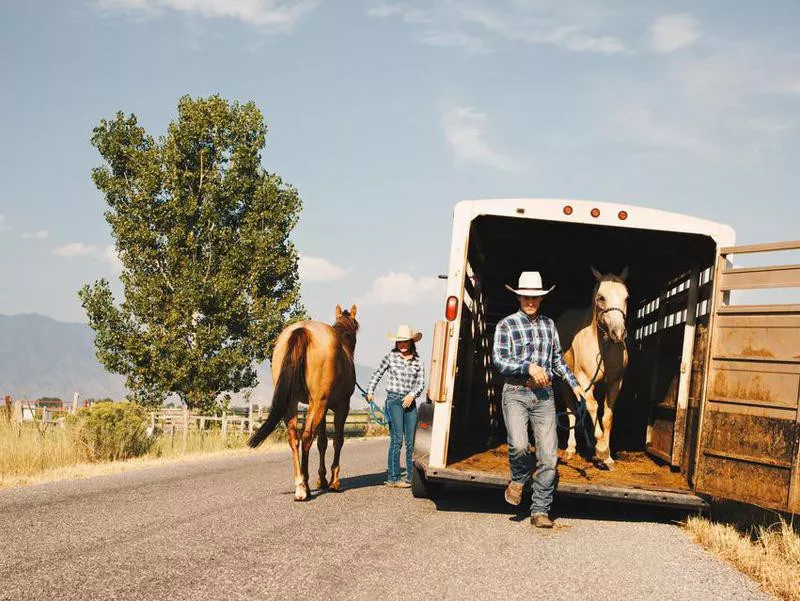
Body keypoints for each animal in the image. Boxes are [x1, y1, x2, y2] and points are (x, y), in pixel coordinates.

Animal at [248, 302, 358, 500]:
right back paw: (304, 487)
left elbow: (322, 441)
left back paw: (300, 483)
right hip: (318, 403)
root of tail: (302, 330)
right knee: (307, 436)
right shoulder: (341, 406)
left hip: (294, 403)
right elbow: (337, 440)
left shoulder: (323, 407)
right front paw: (334, 481)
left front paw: (322, 479)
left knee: (294, 437)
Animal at [556, 268, 624, 468]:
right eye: (601, 297)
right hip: (566, 385)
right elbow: (593, 407)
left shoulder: (615, 383)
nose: (618, 333)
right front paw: (601, 449)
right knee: (572, 411)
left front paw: (607, 457)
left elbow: (607, 416)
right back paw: (571, 449)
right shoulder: (584, 379)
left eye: (626, 297)